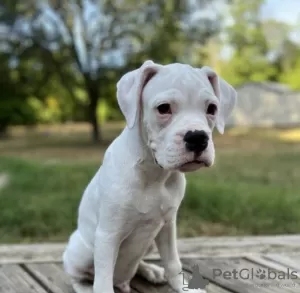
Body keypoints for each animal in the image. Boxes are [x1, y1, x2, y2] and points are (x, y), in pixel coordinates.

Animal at [62, 60, 237, 292]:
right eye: (163, 108)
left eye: (212, 109)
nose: (198, 137)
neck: (155, 174)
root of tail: (122, 282)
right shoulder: (107, 235)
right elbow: (102, 280)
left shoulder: (168, 226)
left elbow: (173, 262)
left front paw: (182, 286)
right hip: (82, 250)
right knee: (78, 276)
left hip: (150, 243)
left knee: (136, 264)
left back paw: (151, 271)